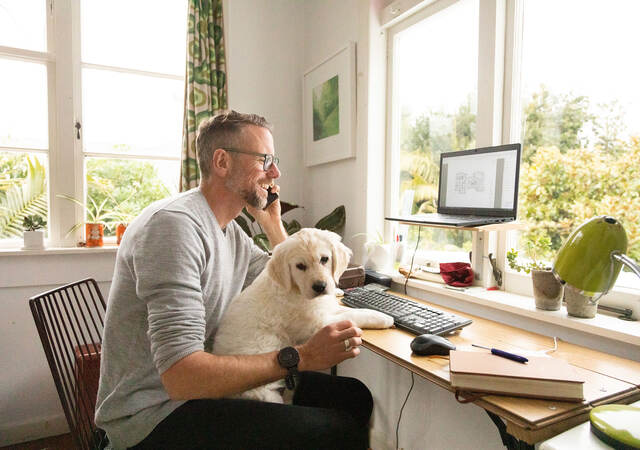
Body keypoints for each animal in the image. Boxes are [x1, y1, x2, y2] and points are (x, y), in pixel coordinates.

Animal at [214, 227, 396, 402]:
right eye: (300, 266)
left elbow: (351, 310)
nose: (320, 286)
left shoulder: (326, 308)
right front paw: (383, 318)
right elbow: (353, 316)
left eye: (324, 259)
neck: (296, 290)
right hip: (263, 390)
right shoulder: (317, 324)